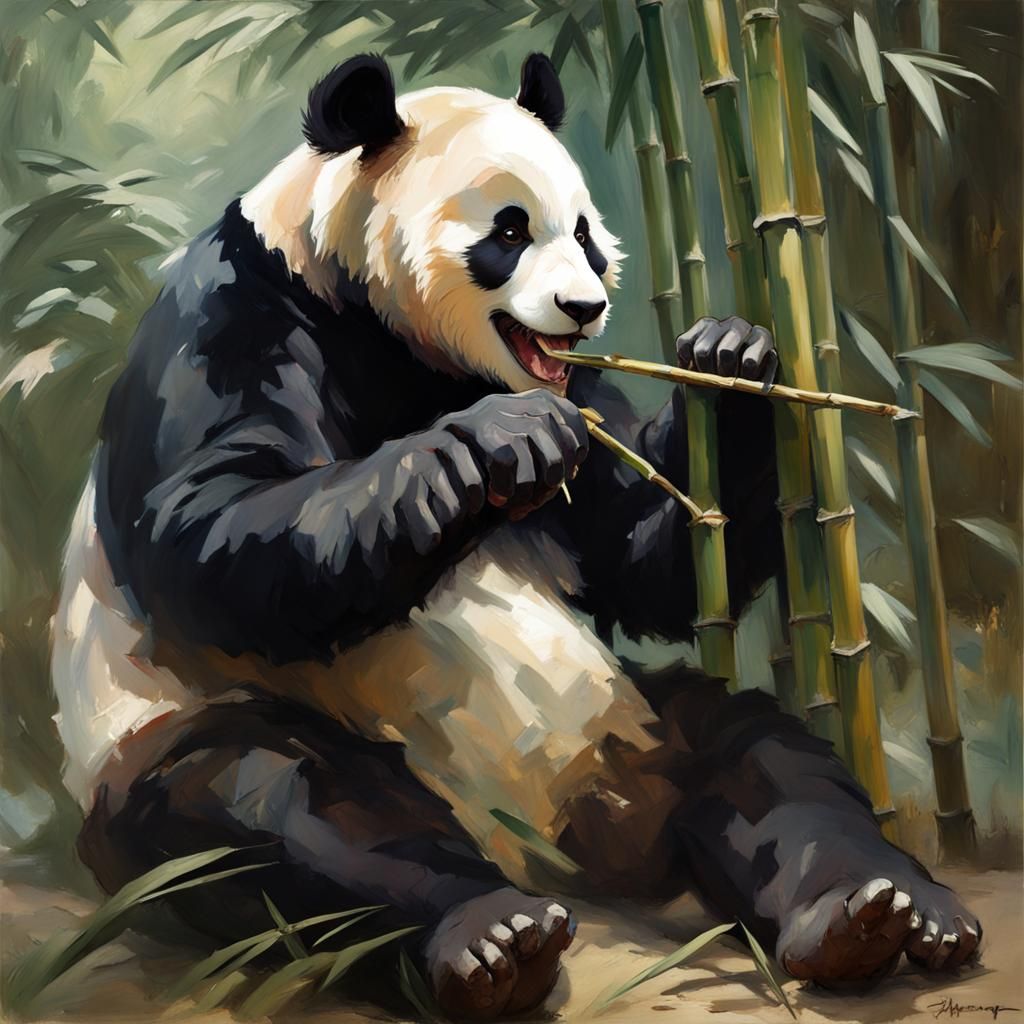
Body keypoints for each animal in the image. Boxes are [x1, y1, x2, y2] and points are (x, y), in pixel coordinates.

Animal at [52, 52, 979, 1020]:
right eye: (508, 231)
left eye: (586, 234)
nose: (584, 307)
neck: (388, 333)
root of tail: (565, 841)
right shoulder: (234, 318)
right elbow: (208, 535)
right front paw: (491, 445)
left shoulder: (572, 388)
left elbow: (643, 562)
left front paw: (730, 362)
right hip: (171, 740)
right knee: (279, 807)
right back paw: (495, 940)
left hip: (632, 724)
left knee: (761, 755)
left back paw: (873, 912)